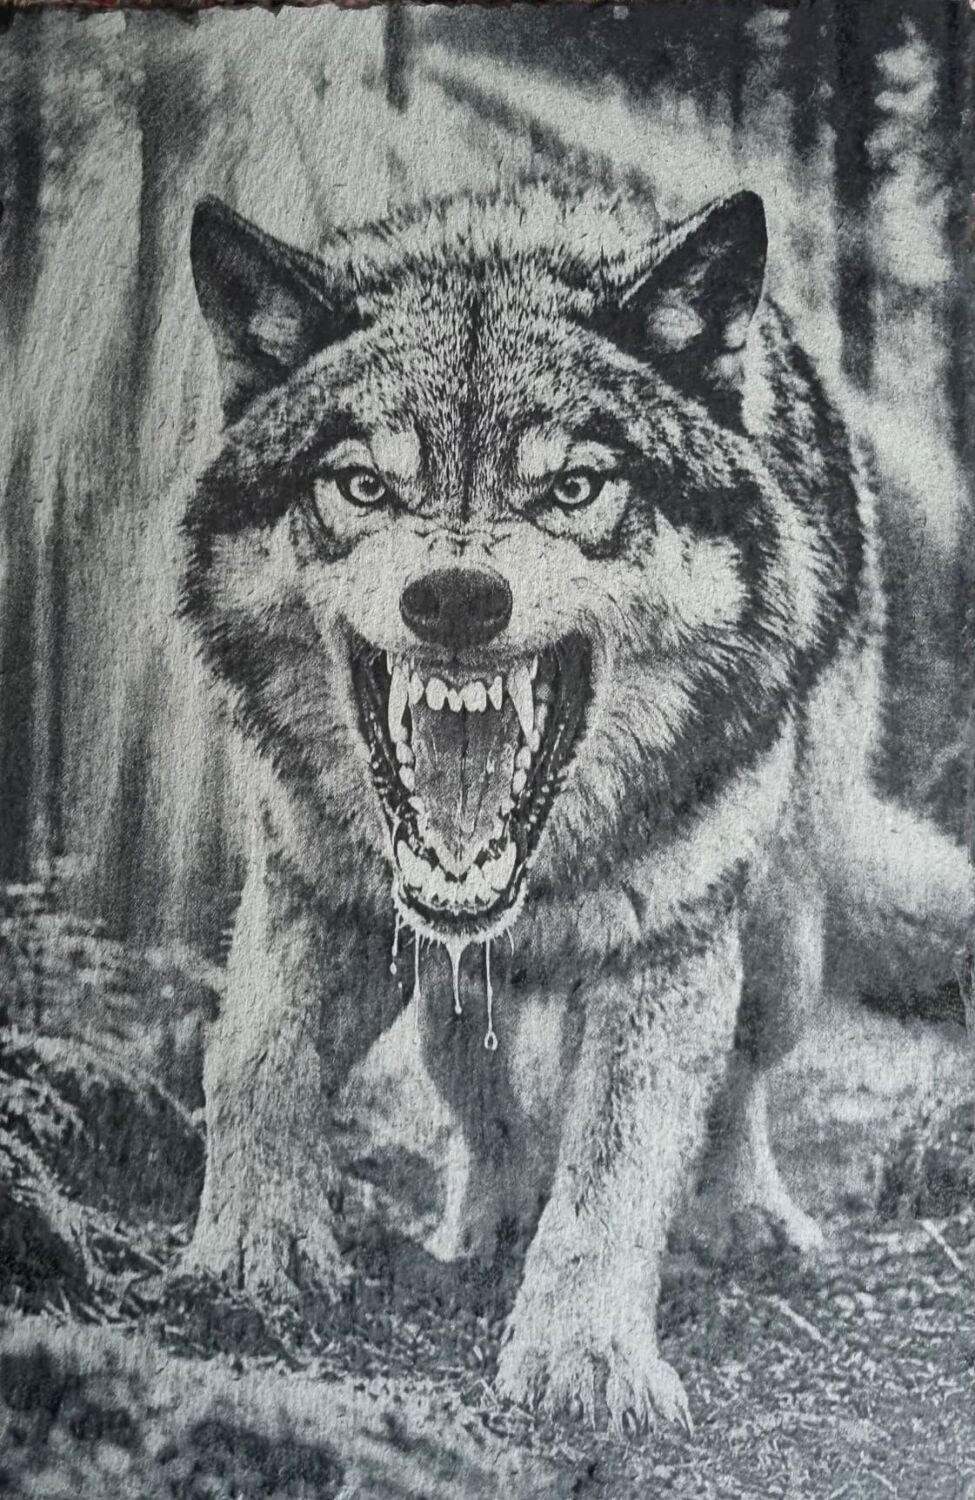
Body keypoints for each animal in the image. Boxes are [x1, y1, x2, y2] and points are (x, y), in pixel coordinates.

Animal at [180, 181, 971, 1433]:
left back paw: (743, 1217)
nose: (458, 598)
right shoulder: (316, 894)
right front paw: (250, 1254)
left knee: (739, 1081)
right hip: (447, 975)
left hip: (780, 940)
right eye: (363, 485)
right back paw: (491, 1214)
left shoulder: (669, 950)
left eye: (574, 487)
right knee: (469, 1072)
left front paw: (583, 1358)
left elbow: (617, 1159)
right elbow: (255, 1060)